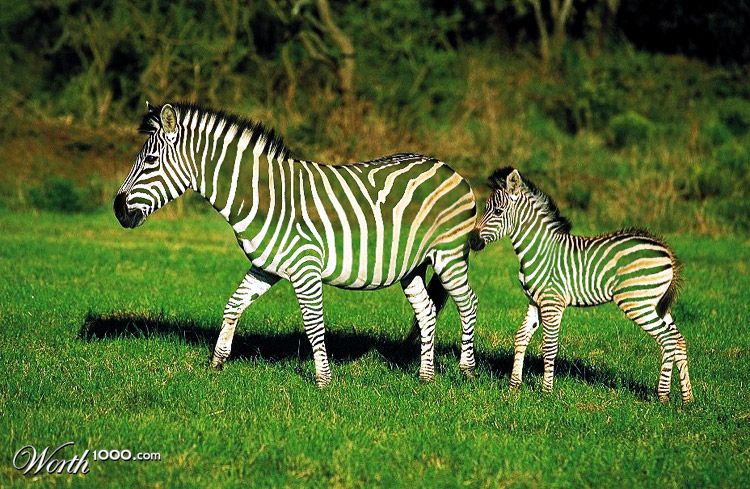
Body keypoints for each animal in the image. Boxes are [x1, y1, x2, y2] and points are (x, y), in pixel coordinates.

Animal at [114, 102, 479, 387]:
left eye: (150, 161)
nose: (118, 211)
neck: (261, 197)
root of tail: (448, 168)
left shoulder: (306, 269)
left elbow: (314, 326)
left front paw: (323, 382)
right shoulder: (266, 266)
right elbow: (233, 306)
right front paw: (216, 364)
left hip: (448, 256)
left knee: (468, 303)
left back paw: (467, 371)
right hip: (412, 265)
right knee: (427, 311)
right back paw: (425, 376)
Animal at [470, 167, 693, 402]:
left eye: (498, 211)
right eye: (486, 209)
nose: (472, 242)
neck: (539, 250)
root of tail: (666, 250)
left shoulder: (552, 303)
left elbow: (549, 346)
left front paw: (546, 392)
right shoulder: (534, 301)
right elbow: (521, 337)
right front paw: (514, 386)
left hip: (637, 302)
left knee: (667, 340)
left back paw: (663, 396)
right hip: (655, 304)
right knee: (678, 340)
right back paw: (687, 398)